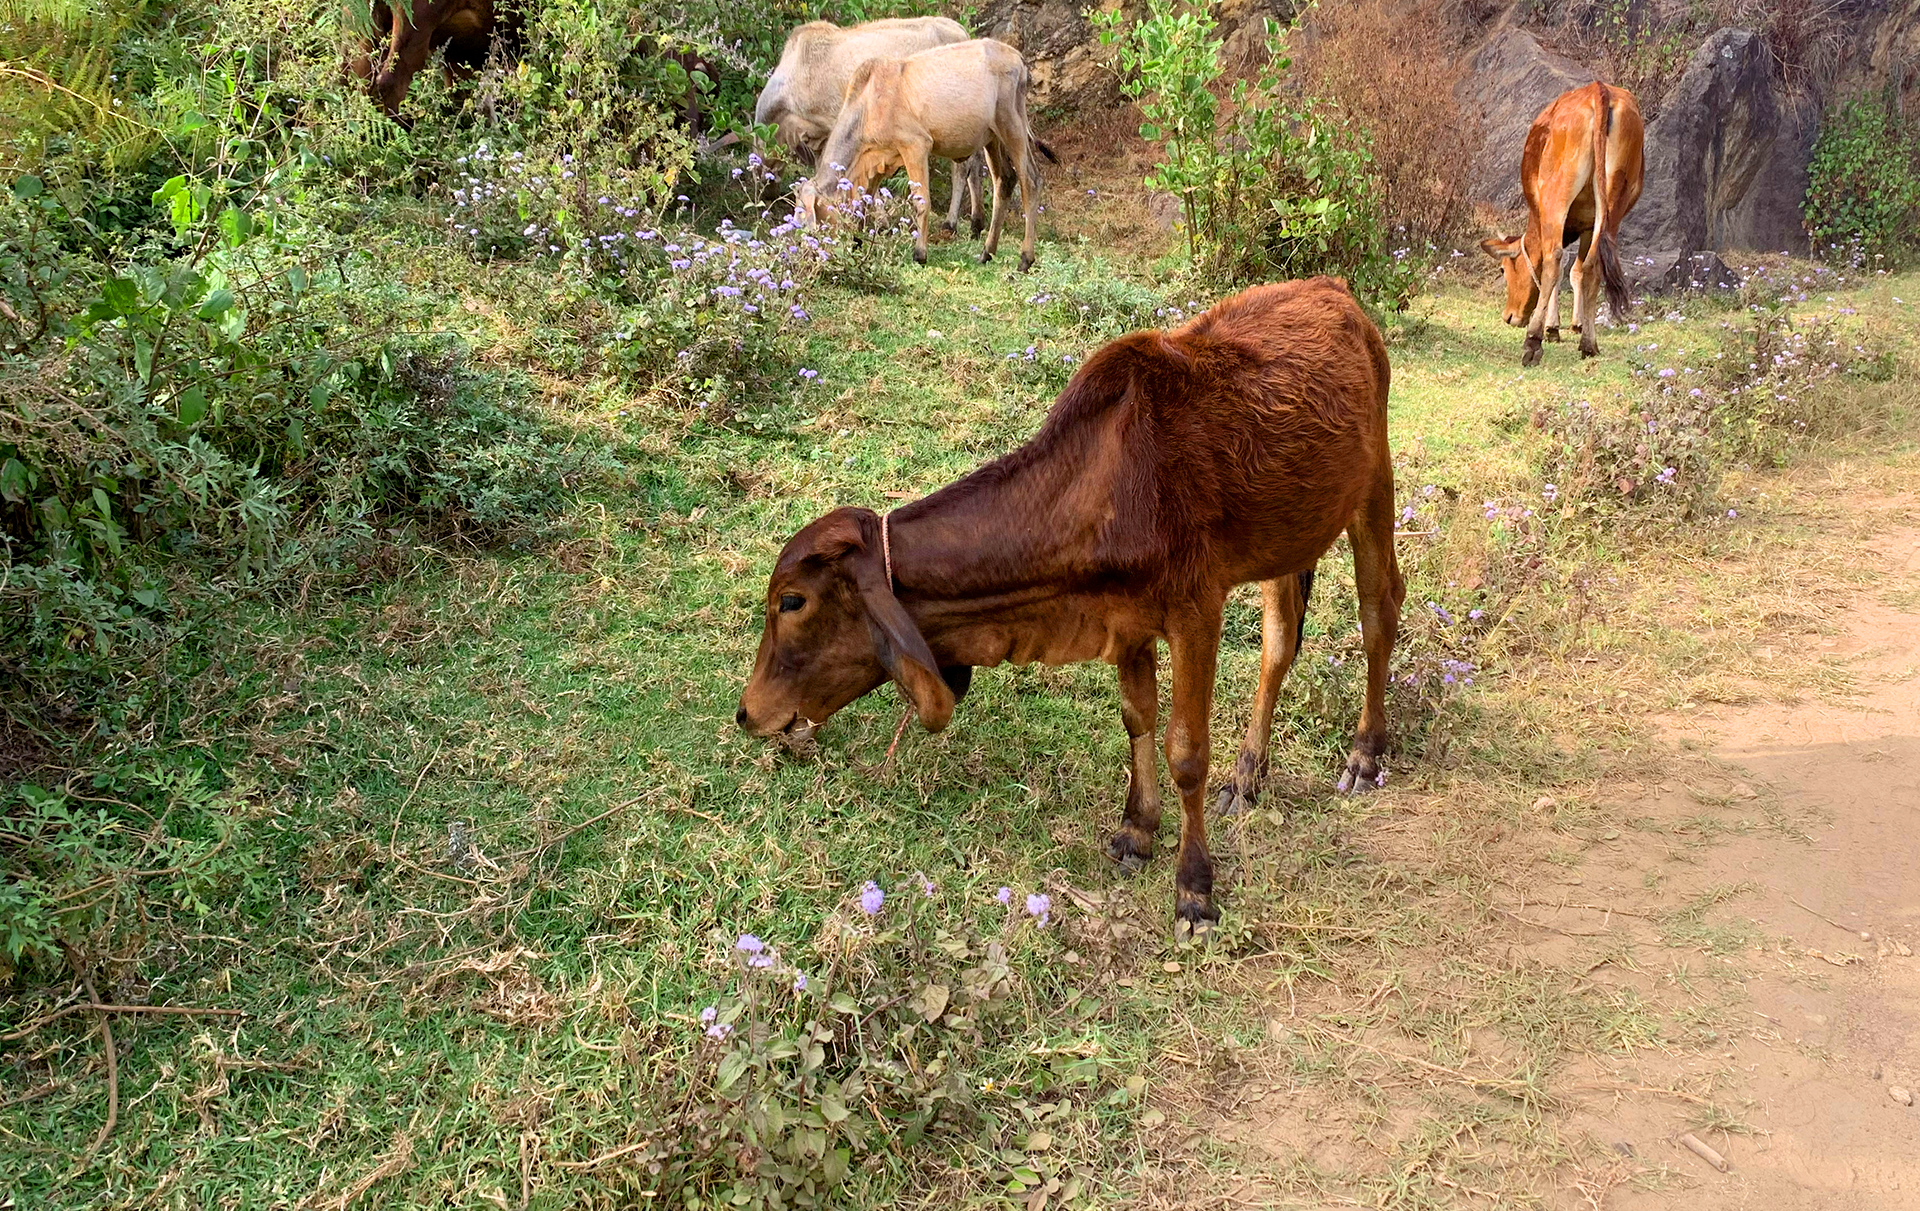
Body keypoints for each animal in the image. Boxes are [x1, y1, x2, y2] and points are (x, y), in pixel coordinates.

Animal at [741, 276, 1405, 936]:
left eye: (792, 601)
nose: (749, 713)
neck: (1110, 482)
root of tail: (1333, 289)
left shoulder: (1195, 612)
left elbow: (1186, 751)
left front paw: (1194, 889)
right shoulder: (1127, 621)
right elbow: (1137, 719)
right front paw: (1138, 829)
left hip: (1374, 487)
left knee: (1379, 612)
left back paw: (1365, 752)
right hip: (1287, 534)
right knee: (1280, 639)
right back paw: (1247, 774)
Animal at [798, 40, 1067, 274]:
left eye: (806, 215)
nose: (807, 253)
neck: (868, 106)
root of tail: (1017, 58)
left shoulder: (916, 145)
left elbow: (920, 201)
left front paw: (920, 253)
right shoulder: (879, 161)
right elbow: (865, 203)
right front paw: (857, 243)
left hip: (1011, 125)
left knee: (1030, 180)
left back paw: (1024, 259)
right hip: (992, 138)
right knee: (1005, 180)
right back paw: (986, 252)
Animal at [1474, 81, 1643, 366]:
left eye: (1503, 269)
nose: (1509, 316)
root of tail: (1599, 90)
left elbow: (1554, 267)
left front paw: (1551, 327)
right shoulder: (1588, 224)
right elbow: (1577, 270)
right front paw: (1577, 325)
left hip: (1557, 194)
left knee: (1553, 260)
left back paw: (1532, 342)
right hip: (1614, 205)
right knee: (1594, 265)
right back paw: (1589, 344)